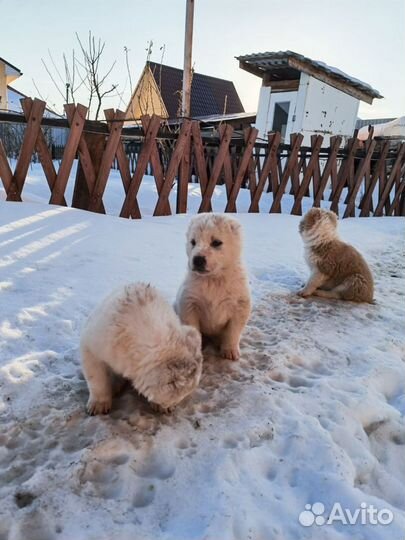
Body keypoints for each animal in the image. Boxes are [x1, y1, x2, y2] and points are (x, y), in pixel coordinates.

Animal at [176, 213, 251, 360]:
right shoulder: (189, 302)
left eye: (216, 242)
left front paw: (230, 351)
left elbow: (233, 330)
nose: (198, 259)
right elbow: (193, 328)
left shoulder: (240, 304)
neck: (213, 280)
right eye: (193, 242)